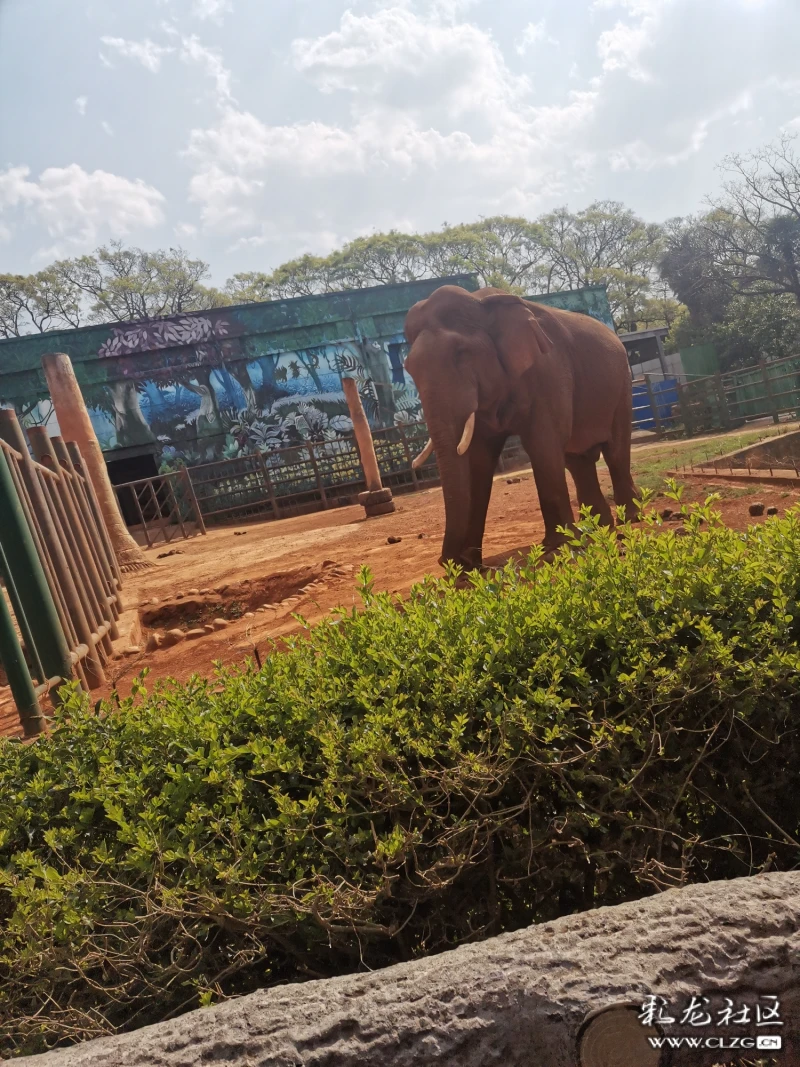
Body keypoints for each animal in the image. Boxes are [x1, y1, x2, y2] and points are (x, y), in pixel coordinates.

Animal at [403, 281, 644, 567]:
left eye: (462, 354)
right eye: (408, 368)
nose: (446, 562)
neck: (481, 303)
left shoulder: (548, 372)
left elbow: (542, 445)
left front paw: (556, 548)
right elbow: (478, 460)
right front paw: (469, 565)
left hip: (622, 385)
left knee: (615, 449)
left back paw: (630, 519)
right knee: (578, 460)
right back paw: (597, 528)